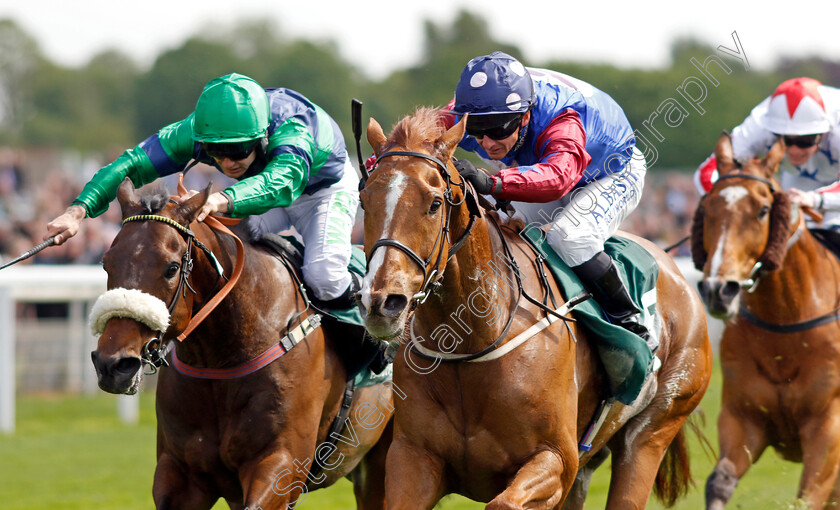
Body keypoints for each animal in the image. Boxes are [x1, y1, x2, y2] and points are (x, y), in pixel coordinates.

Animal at [87, 177, 396, 508]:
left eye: (171, 268)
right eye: (106, 264)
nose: (113, 365)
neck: (221, 360)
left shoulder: (281, 463)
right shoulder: (181, 471)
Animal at [358, 108, 712, 510]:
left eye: (434, 203)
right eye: (364, 200)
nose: (382, 303)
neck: (472, 342)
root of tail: (676, 270)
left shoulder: (555, 459)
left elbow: (504, 502)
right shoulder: (413, 458)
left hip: (655, 425)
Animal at [692, 132, 840, 510]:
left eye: (762, 210)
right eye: (708, 209)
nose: (718, 290)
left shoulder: (828, 425)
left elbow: (806, 498)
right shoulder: (742, 418)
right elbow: (720, 482)